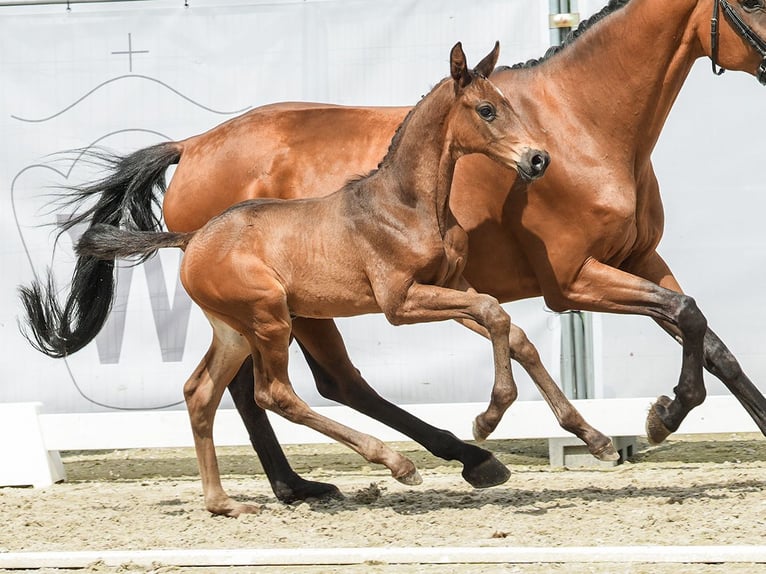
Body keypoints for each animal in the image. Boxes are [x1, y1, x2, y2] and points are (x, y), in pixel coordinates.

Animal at [78, 42, 552, 516]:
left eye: (509, 104)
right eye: (487, 109)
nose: (538, 159)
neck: (407, 205)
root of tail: (193, 237)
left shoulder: (452, 285)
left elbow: (503, 322)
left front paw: (550, 424)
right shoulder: (399, 302)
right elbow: (493, 311)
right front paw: (487, 420)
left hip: (235, 331)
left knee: (201, 391)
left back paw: (225, 503)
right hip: (270, 318)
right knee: (275, 393)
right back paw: (393, 463)